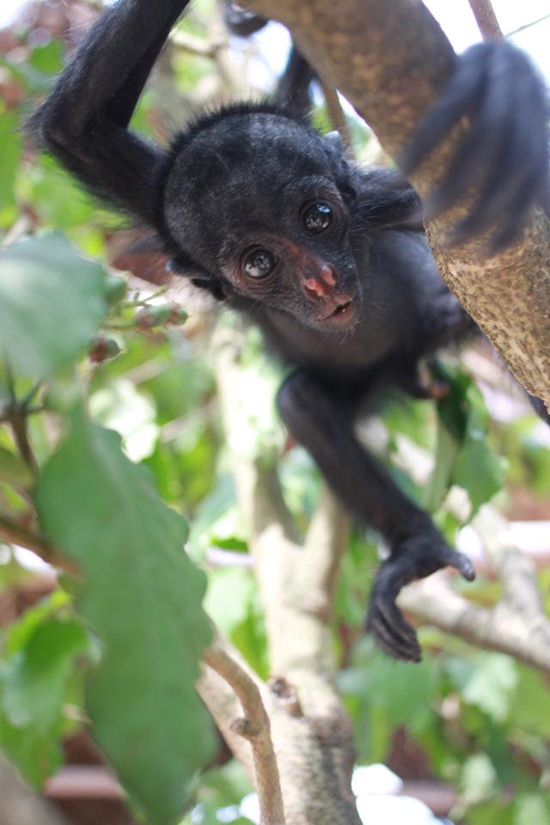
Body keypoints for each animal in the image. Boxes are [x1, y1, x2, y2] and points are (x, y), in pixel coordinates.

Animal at [29, 0, 550, 660]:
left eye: (319, 217)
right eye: (259, 264)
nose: (321, 281)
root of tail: (404, 364)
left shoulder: (394, 203)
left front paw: (505, 88)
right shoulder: (155, 206)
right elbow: (76, 131)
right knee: (301, 401)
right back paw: (417, 550)